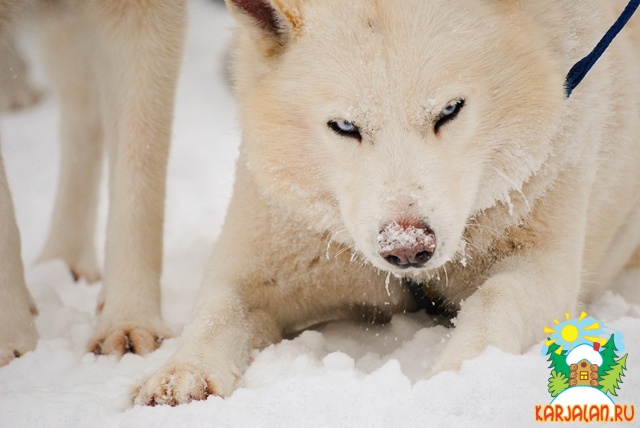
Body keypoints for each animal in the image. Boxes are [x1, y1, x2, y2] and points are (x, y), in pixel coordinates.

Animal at [1, 0, 188, 364]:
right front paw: (11, 342)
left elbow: (139, 182)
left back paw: (66, 260)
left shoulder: (141, 17)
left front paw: (130, 323)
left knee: (82, 115)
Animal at [132, 0, 636, 404]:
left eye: (449, 111)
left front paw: (458, 374)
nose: (408, 247)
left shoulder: (544, 264)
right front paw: (183, 371)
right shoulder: (263, 254)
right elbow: (220, 309)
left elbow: (498, 296)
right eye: (345, 126)